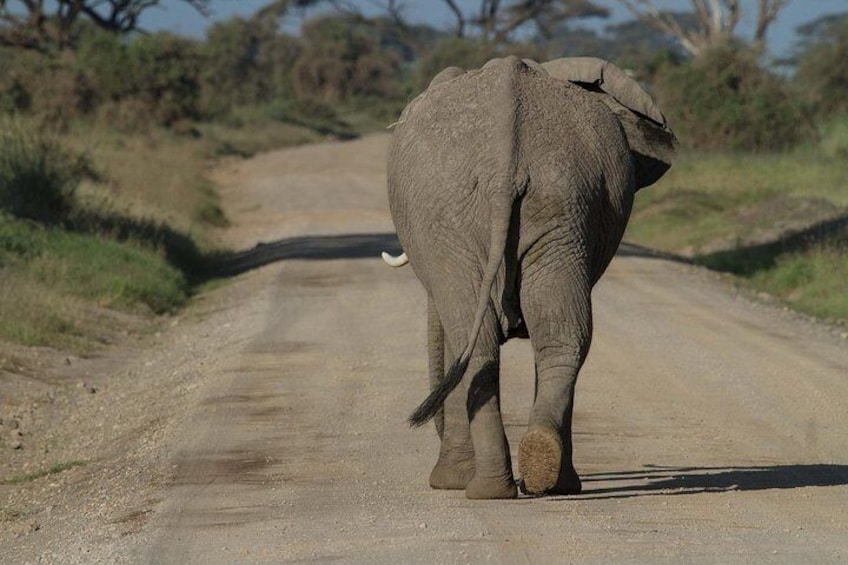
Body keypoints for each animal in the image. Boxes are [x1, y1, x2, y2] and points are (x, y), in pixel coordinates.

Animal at [388, 57, 680, 498]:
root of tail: (505, 162)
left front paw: (447, 482)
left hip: (463, 217)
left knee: (477, 341)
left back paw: (483, 488)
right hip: (561, 204)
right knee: (561, 335)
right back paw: (544, 474)